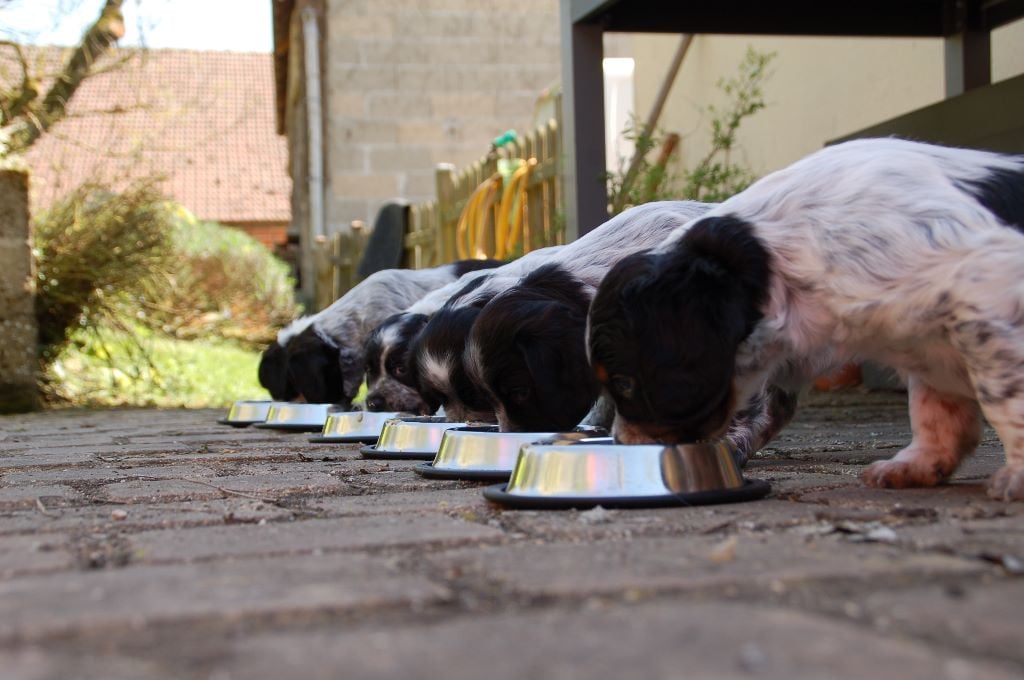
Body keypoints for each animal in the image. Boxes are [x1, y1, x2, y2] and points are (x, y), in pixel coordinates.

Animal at [585, 138, 1024, 499]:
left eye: (623, 383)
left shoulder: (987, 298)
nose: (621, 445)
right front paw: (914, 466)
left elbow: (1005, 398)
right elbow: (934, 410)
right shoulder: (923, 338)